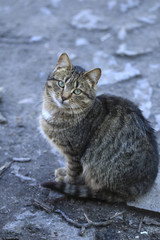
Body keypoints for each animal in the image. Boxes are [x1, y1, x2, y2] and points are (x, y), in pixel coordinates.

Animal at [40, 53, 159, 202]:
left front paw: (65, 179)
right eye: (61, 84)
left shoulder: (75, 152)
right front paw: (63, 171)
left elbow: (72, 173)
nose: (64, 97)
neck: (55, 111)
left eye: (77, 91)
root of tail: (146, 182)